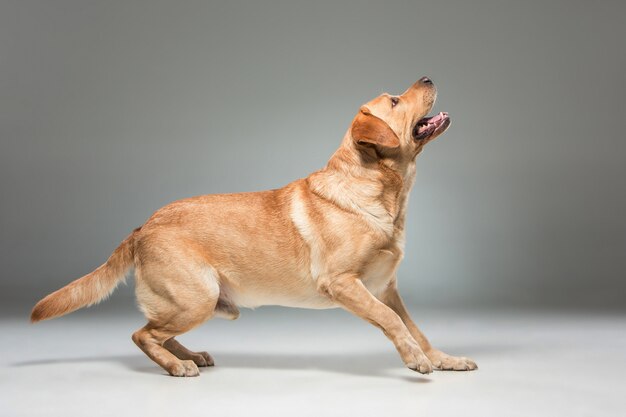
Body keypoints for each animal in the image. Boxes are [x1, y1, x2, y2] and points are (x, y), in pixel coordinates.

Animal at [31, 76, 476, 376]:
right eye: (396, 100)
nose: (428, 77)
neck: (381, 194)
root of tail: (144, 225)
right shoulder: (344, 283)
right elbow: (392, 322)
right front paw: (415, 360)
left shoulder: (386, 289)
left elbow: (415, 327)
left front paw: (442, 359)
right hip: (197, 296)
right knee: (143, 334)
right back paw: (176, 366)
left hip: (197, 302)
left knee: (157, 331)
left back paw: (189, 355)